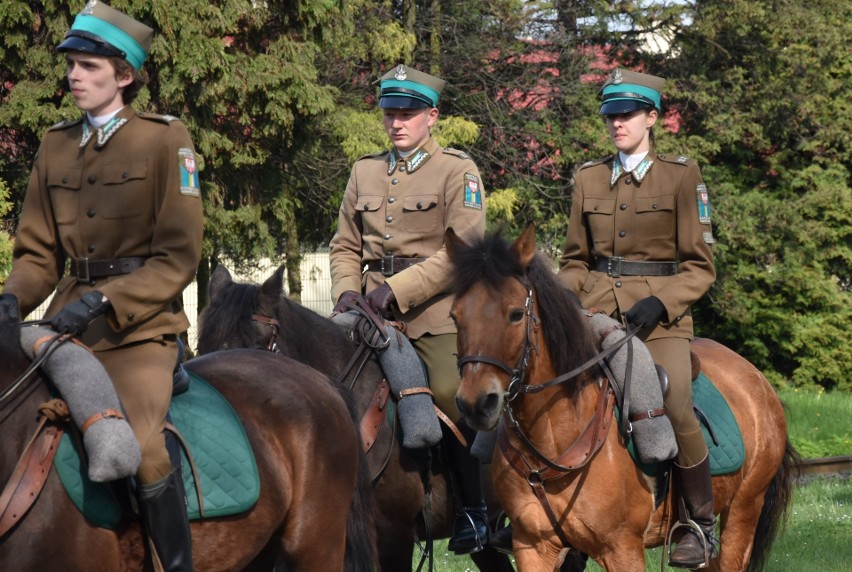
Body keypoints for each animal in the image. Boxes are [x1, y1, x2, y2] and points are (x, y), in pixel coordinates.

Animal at [446, 227, 800, 572]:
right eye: (454, 316)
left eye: (516, 314)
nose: (476, 403)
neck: (555, 436)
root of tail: (758, 381)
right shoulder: (532, 547)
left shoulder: (622, 549)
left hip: (743, 512)